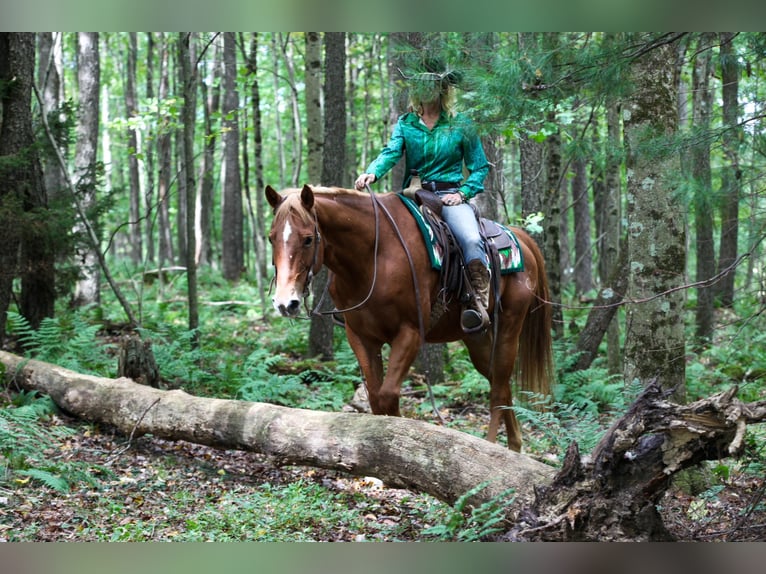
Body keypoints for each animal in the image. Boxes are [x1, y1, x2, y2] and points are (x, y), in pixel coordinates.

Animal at [265, 184, 553, 452]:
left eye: (308, 239)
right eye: (271, 238)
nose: (285, 302)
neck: (372, 257)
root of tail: (520, 237)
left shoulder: (410, 333)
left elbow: (389, 395)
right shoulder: (361, 337)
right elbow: (376, 398)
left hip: (509, 329)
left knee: (497, 390)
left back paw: (492, 448)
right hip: (477, 338)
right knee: (500, 384)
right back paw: (514, 446)